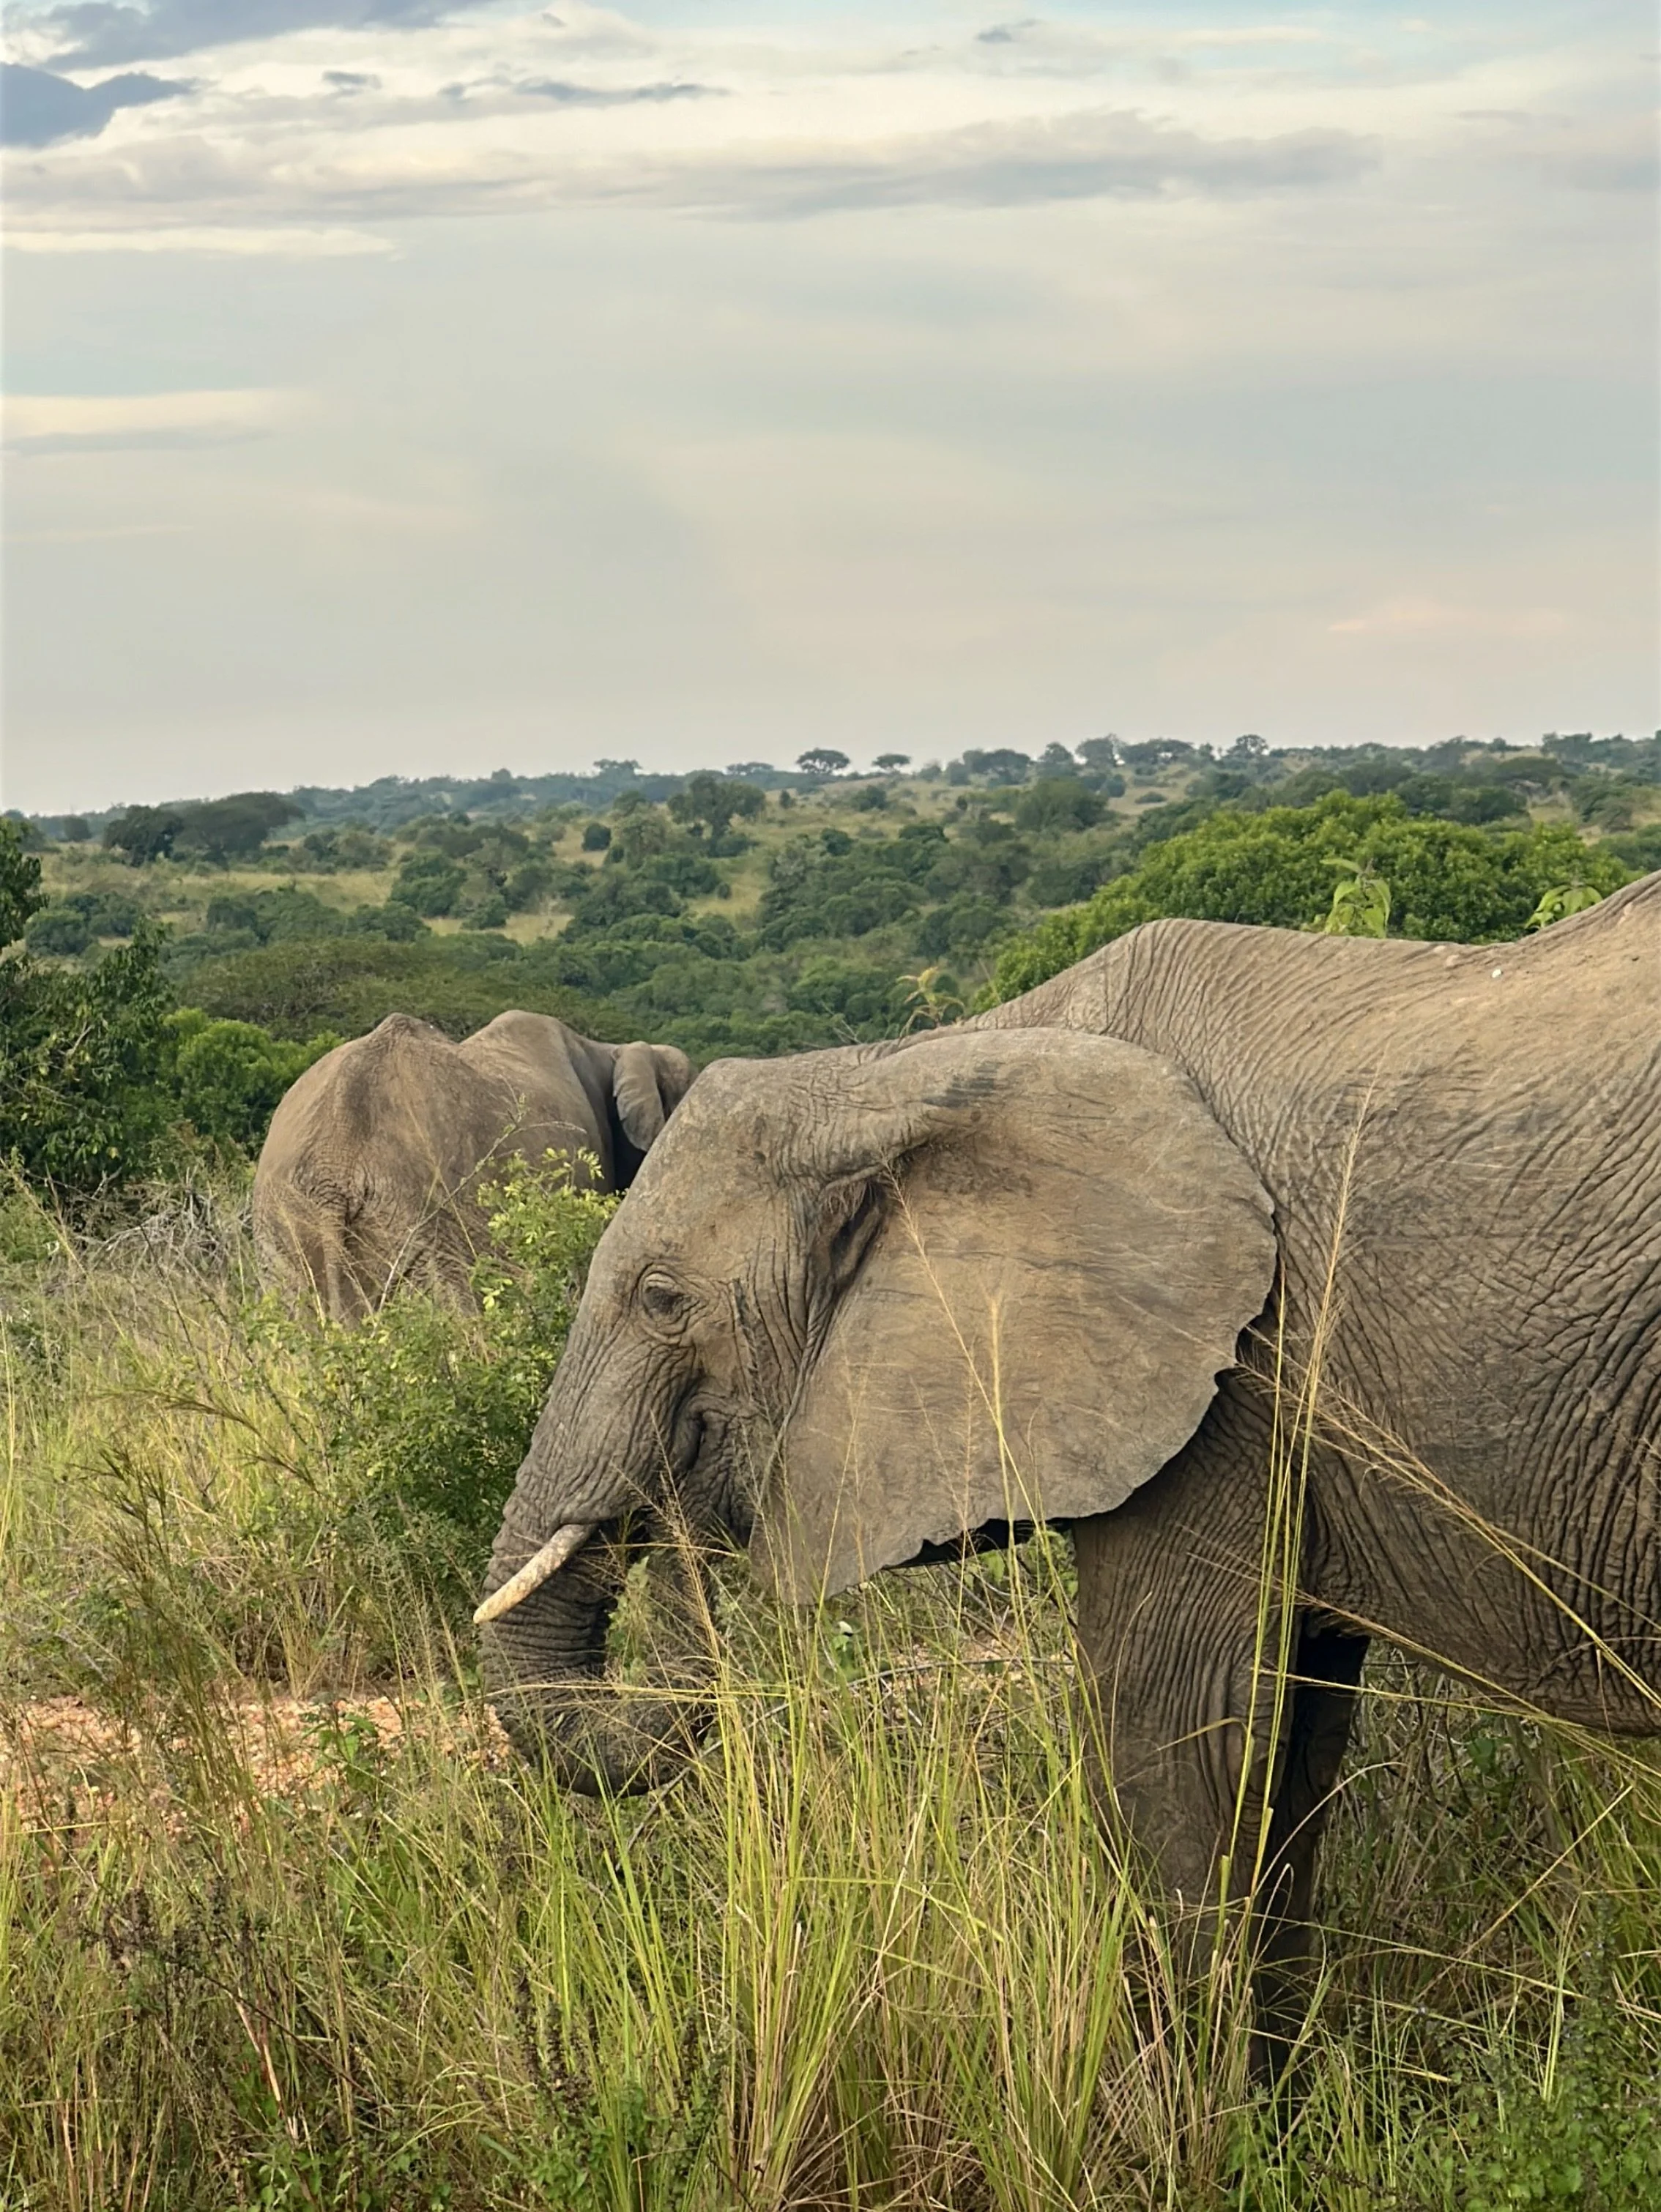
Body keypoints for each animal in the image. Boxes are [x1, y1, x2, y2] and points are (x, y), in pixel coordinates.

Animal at [475, 876, 1660, 2033]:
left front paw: (1190, 2100)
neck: (905, 1072)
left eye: (661, 1300)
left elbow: (1172, 1740)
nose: (676, 1524)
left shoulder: (1228, 1389)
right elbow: (1296, 1752)